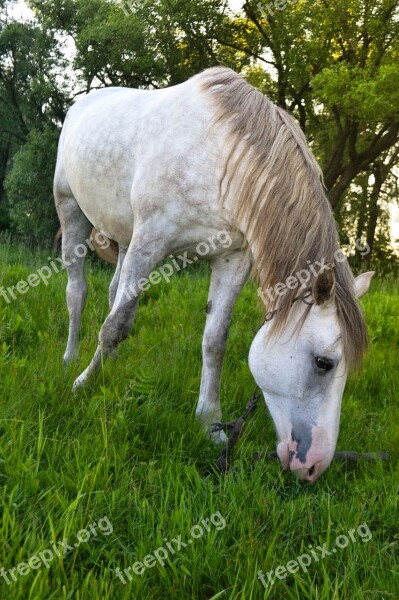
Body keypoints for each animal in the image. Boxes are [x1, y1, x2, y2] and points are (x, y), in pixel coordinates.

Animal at [55, 65, 376, 480]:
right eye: (324, 363)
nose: (314, 467)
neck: (219, 158)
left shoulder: (232, 259)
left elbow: (214, 340)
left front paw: (210, 423)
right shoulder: (150, 241)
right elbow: (116, 326)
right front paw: (84, 384)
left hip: (124, 235)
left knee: (113, 292)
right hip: (70, 209)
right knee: (77, 291)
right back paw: (71, 359)